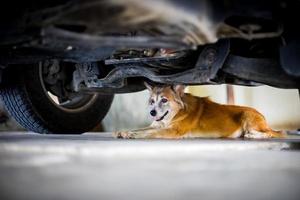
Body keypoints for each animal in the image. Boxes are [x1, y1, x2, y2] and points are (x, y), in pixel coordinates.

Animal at [115, 83, 286, 139]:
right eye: (151, 101)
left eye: (164, 100)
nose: (152, 113)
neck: (177, 113)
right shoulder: (157, 125)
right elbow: (142, 129)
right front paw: (123, 131)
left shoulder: (172, 131)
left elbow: (148, 133)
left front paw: (132, 135)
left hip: (248, 116)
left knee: (272, 133)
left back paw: (252, 135)